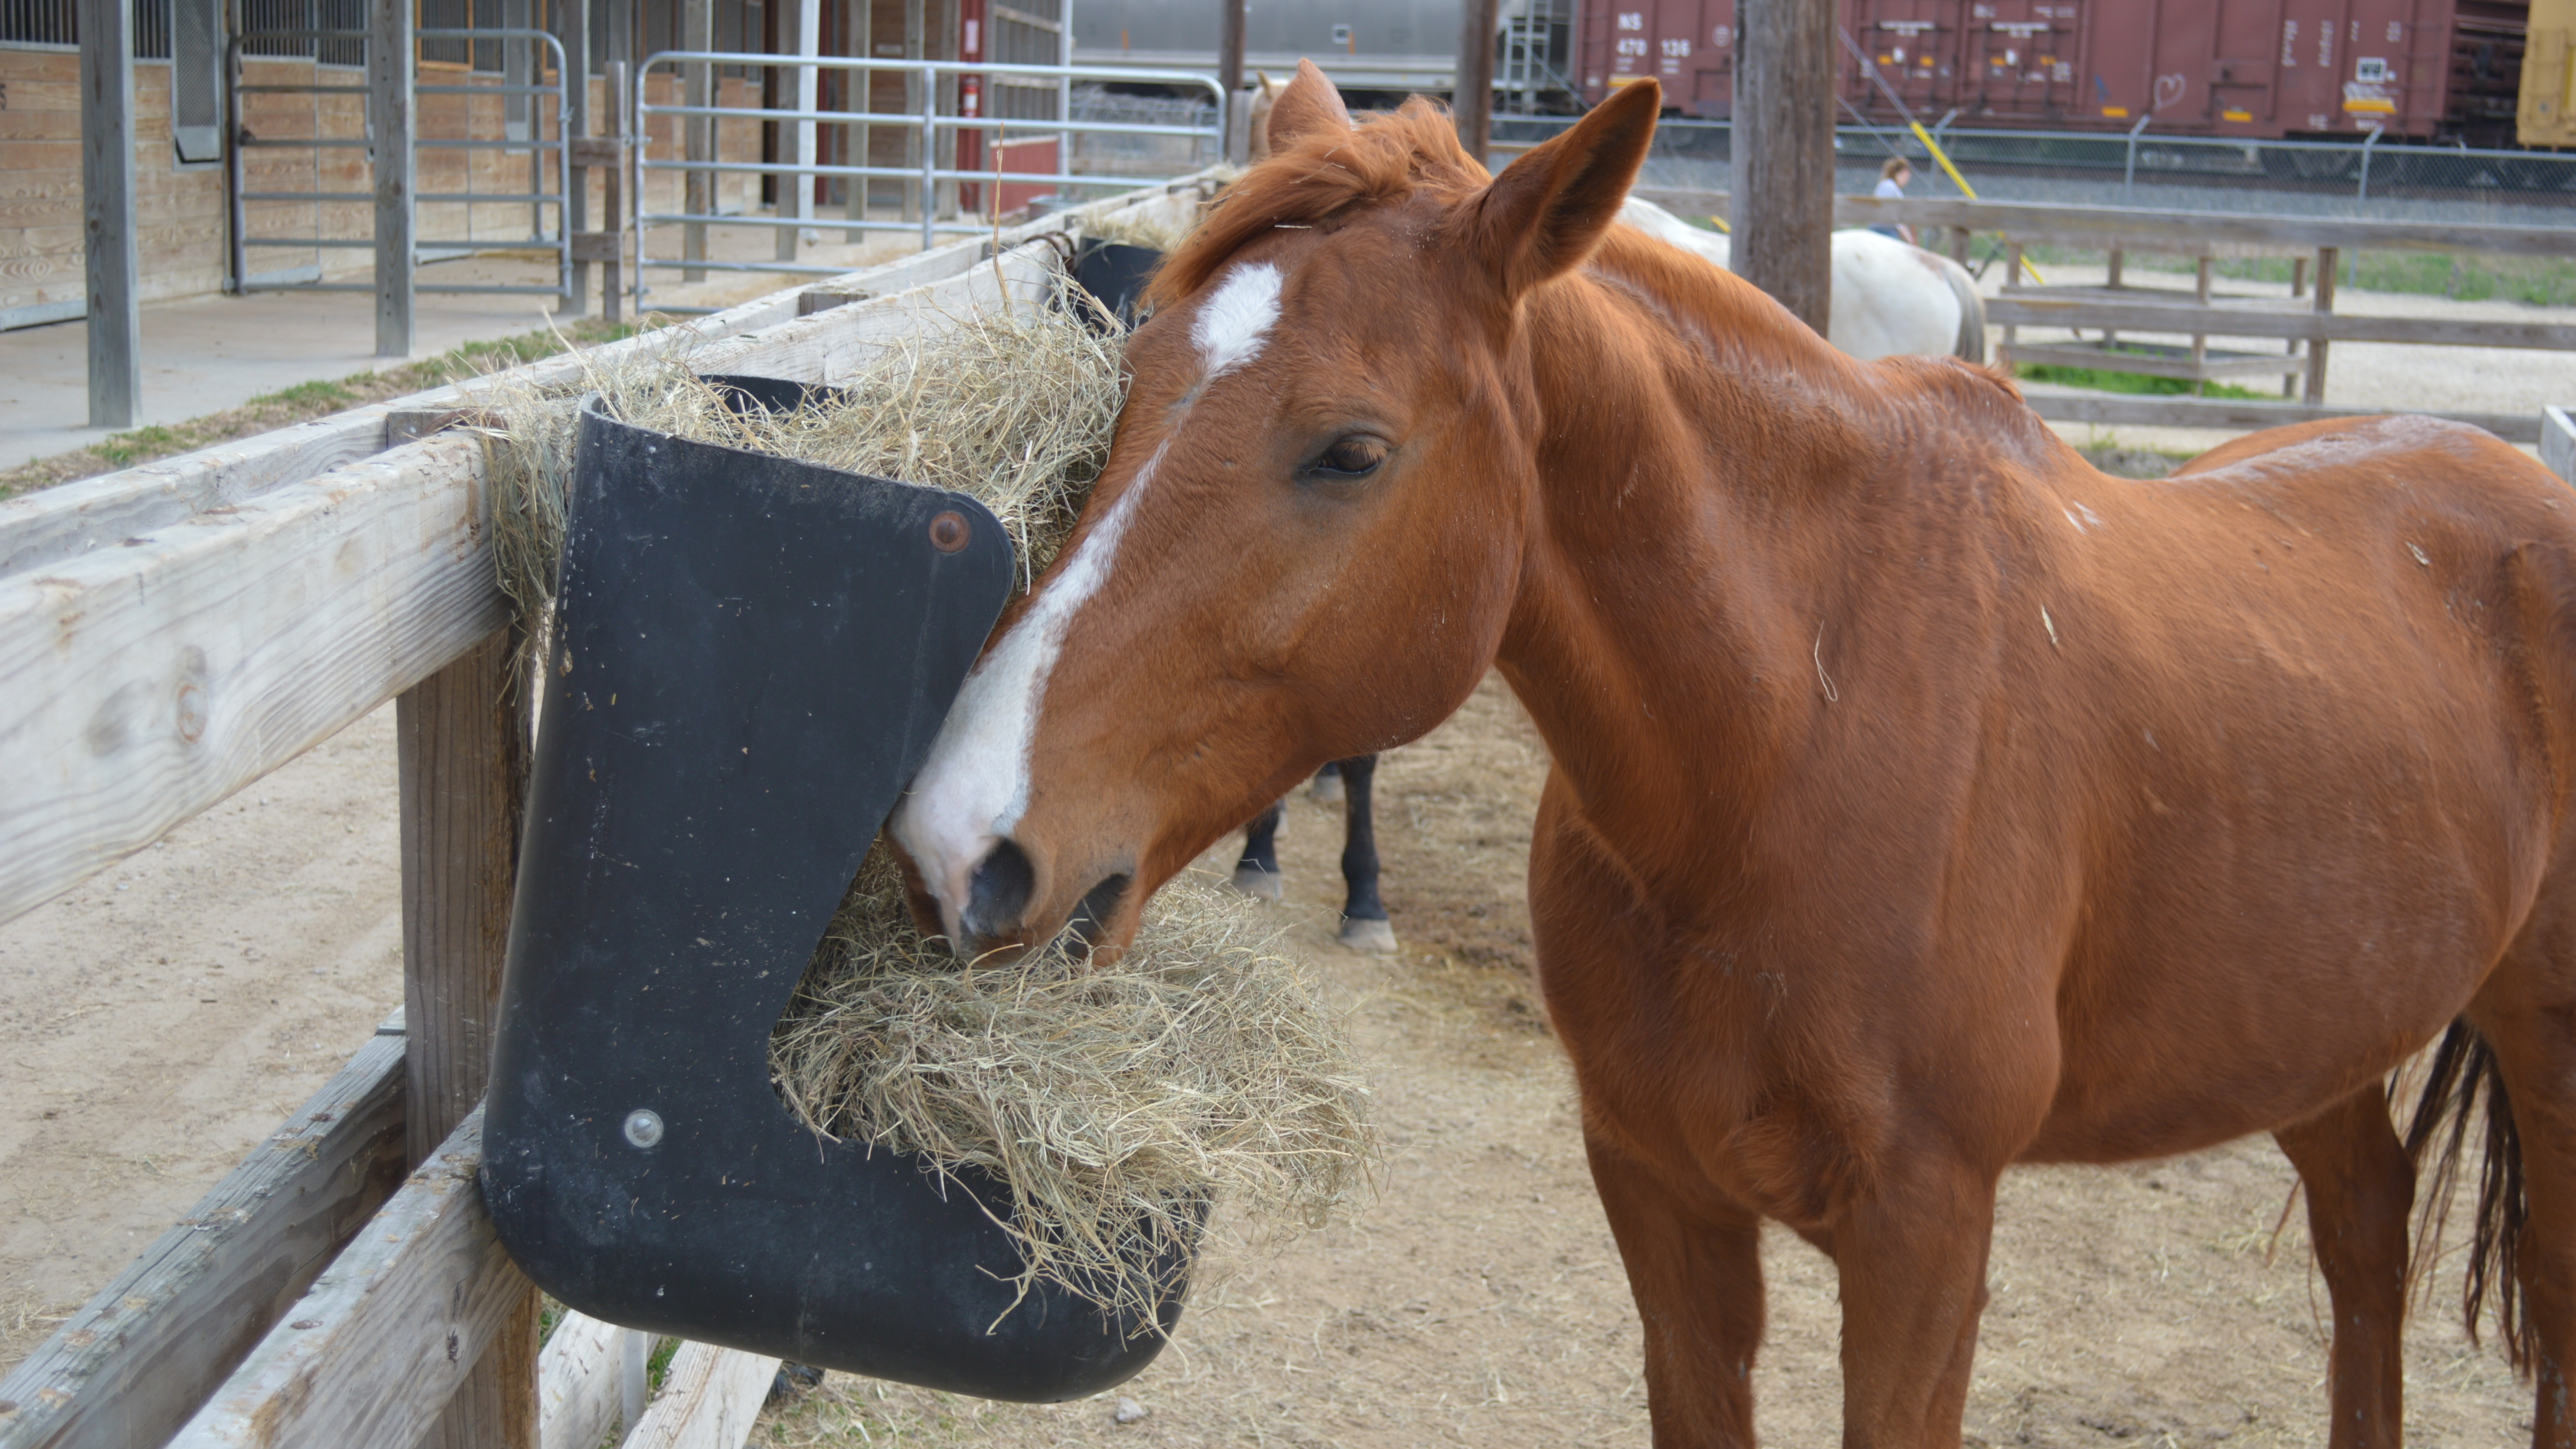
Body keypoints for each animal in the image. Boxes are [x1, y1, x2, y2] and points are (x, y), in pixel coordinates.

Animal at [894, 61, 2576, 1447]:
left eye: (1350, 451)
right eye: (1130, 379)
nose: (958, 840)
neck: (1790, 744)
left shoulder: (1922, 1247)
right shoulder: (1662, 1200)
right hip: (2314, 1027)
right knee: (2364, 1230)